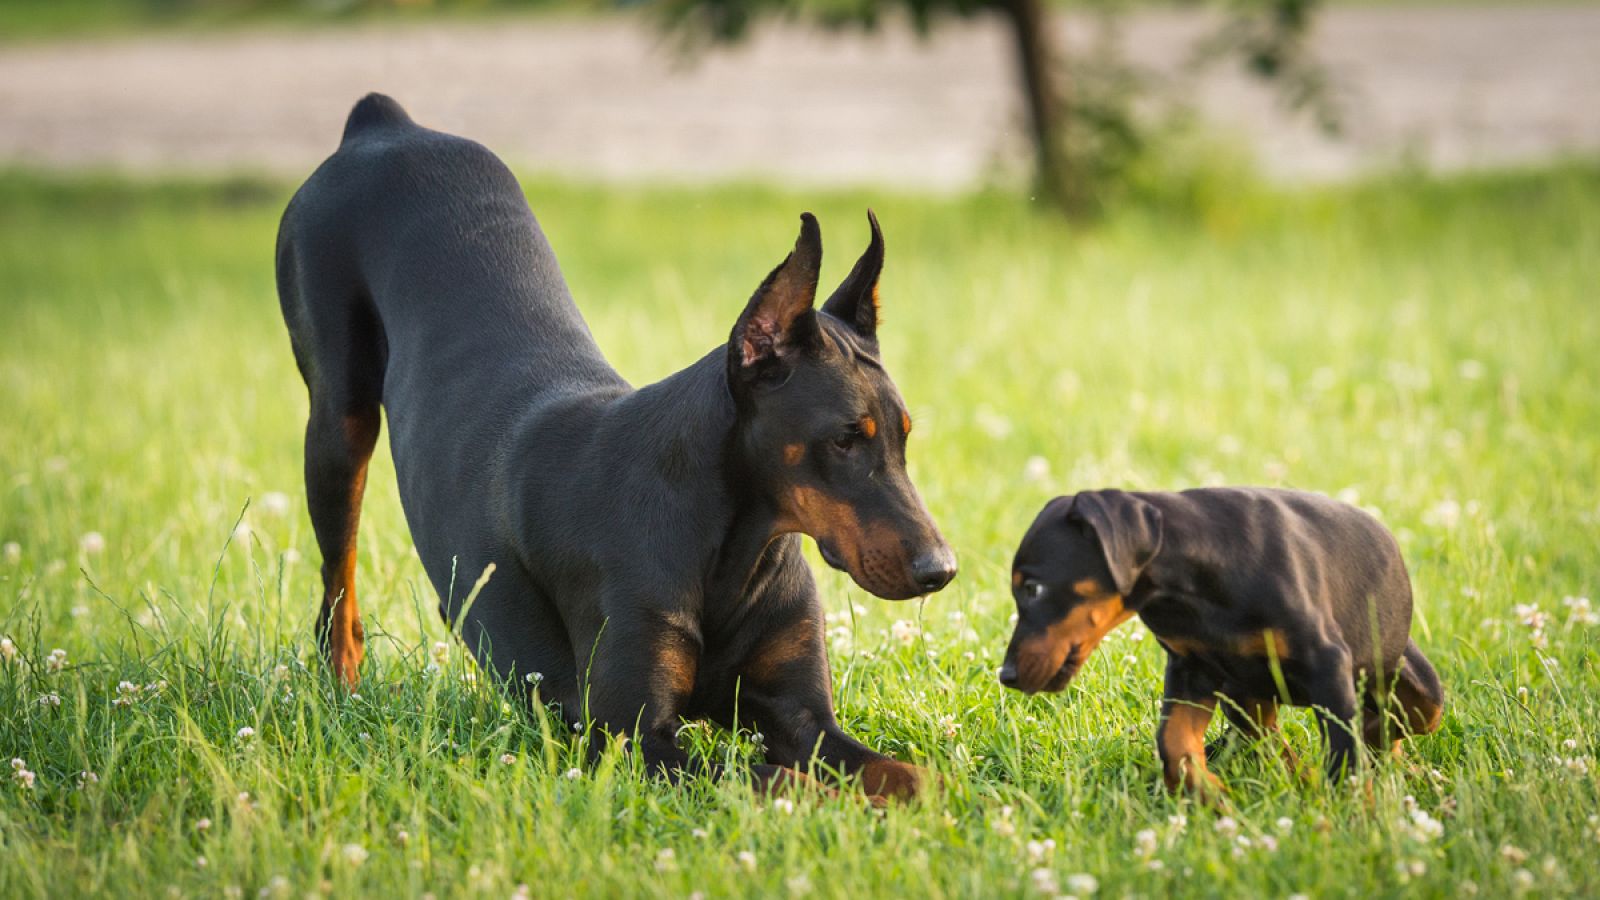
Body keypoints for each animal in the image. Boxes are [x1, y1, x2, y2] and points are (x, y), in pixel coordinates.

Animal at [276, 94, 953, 797]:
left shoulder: (802, 714)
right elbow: (782, 780)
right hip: (337, 420)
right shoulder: (633, 742)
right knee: (336, 584)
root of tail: (384, 125)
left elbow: (910, 775)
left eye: (904, 435)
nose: (942, 570)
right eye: (845, 437)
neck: (731, 546)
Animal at [998, 486, 1440, 794]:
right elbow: (1174, 743)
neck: (1192, 584)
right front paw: (1211, 796)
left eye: (1033, 589)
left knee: (1398, 719)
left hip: (1409, 678)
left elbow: (1345, 755)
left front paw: (1356, 818)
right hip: (1244, 696)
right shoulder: (1191, 669)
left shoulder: (1327, 664)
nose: (1006, 675)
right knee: (1271, 738)